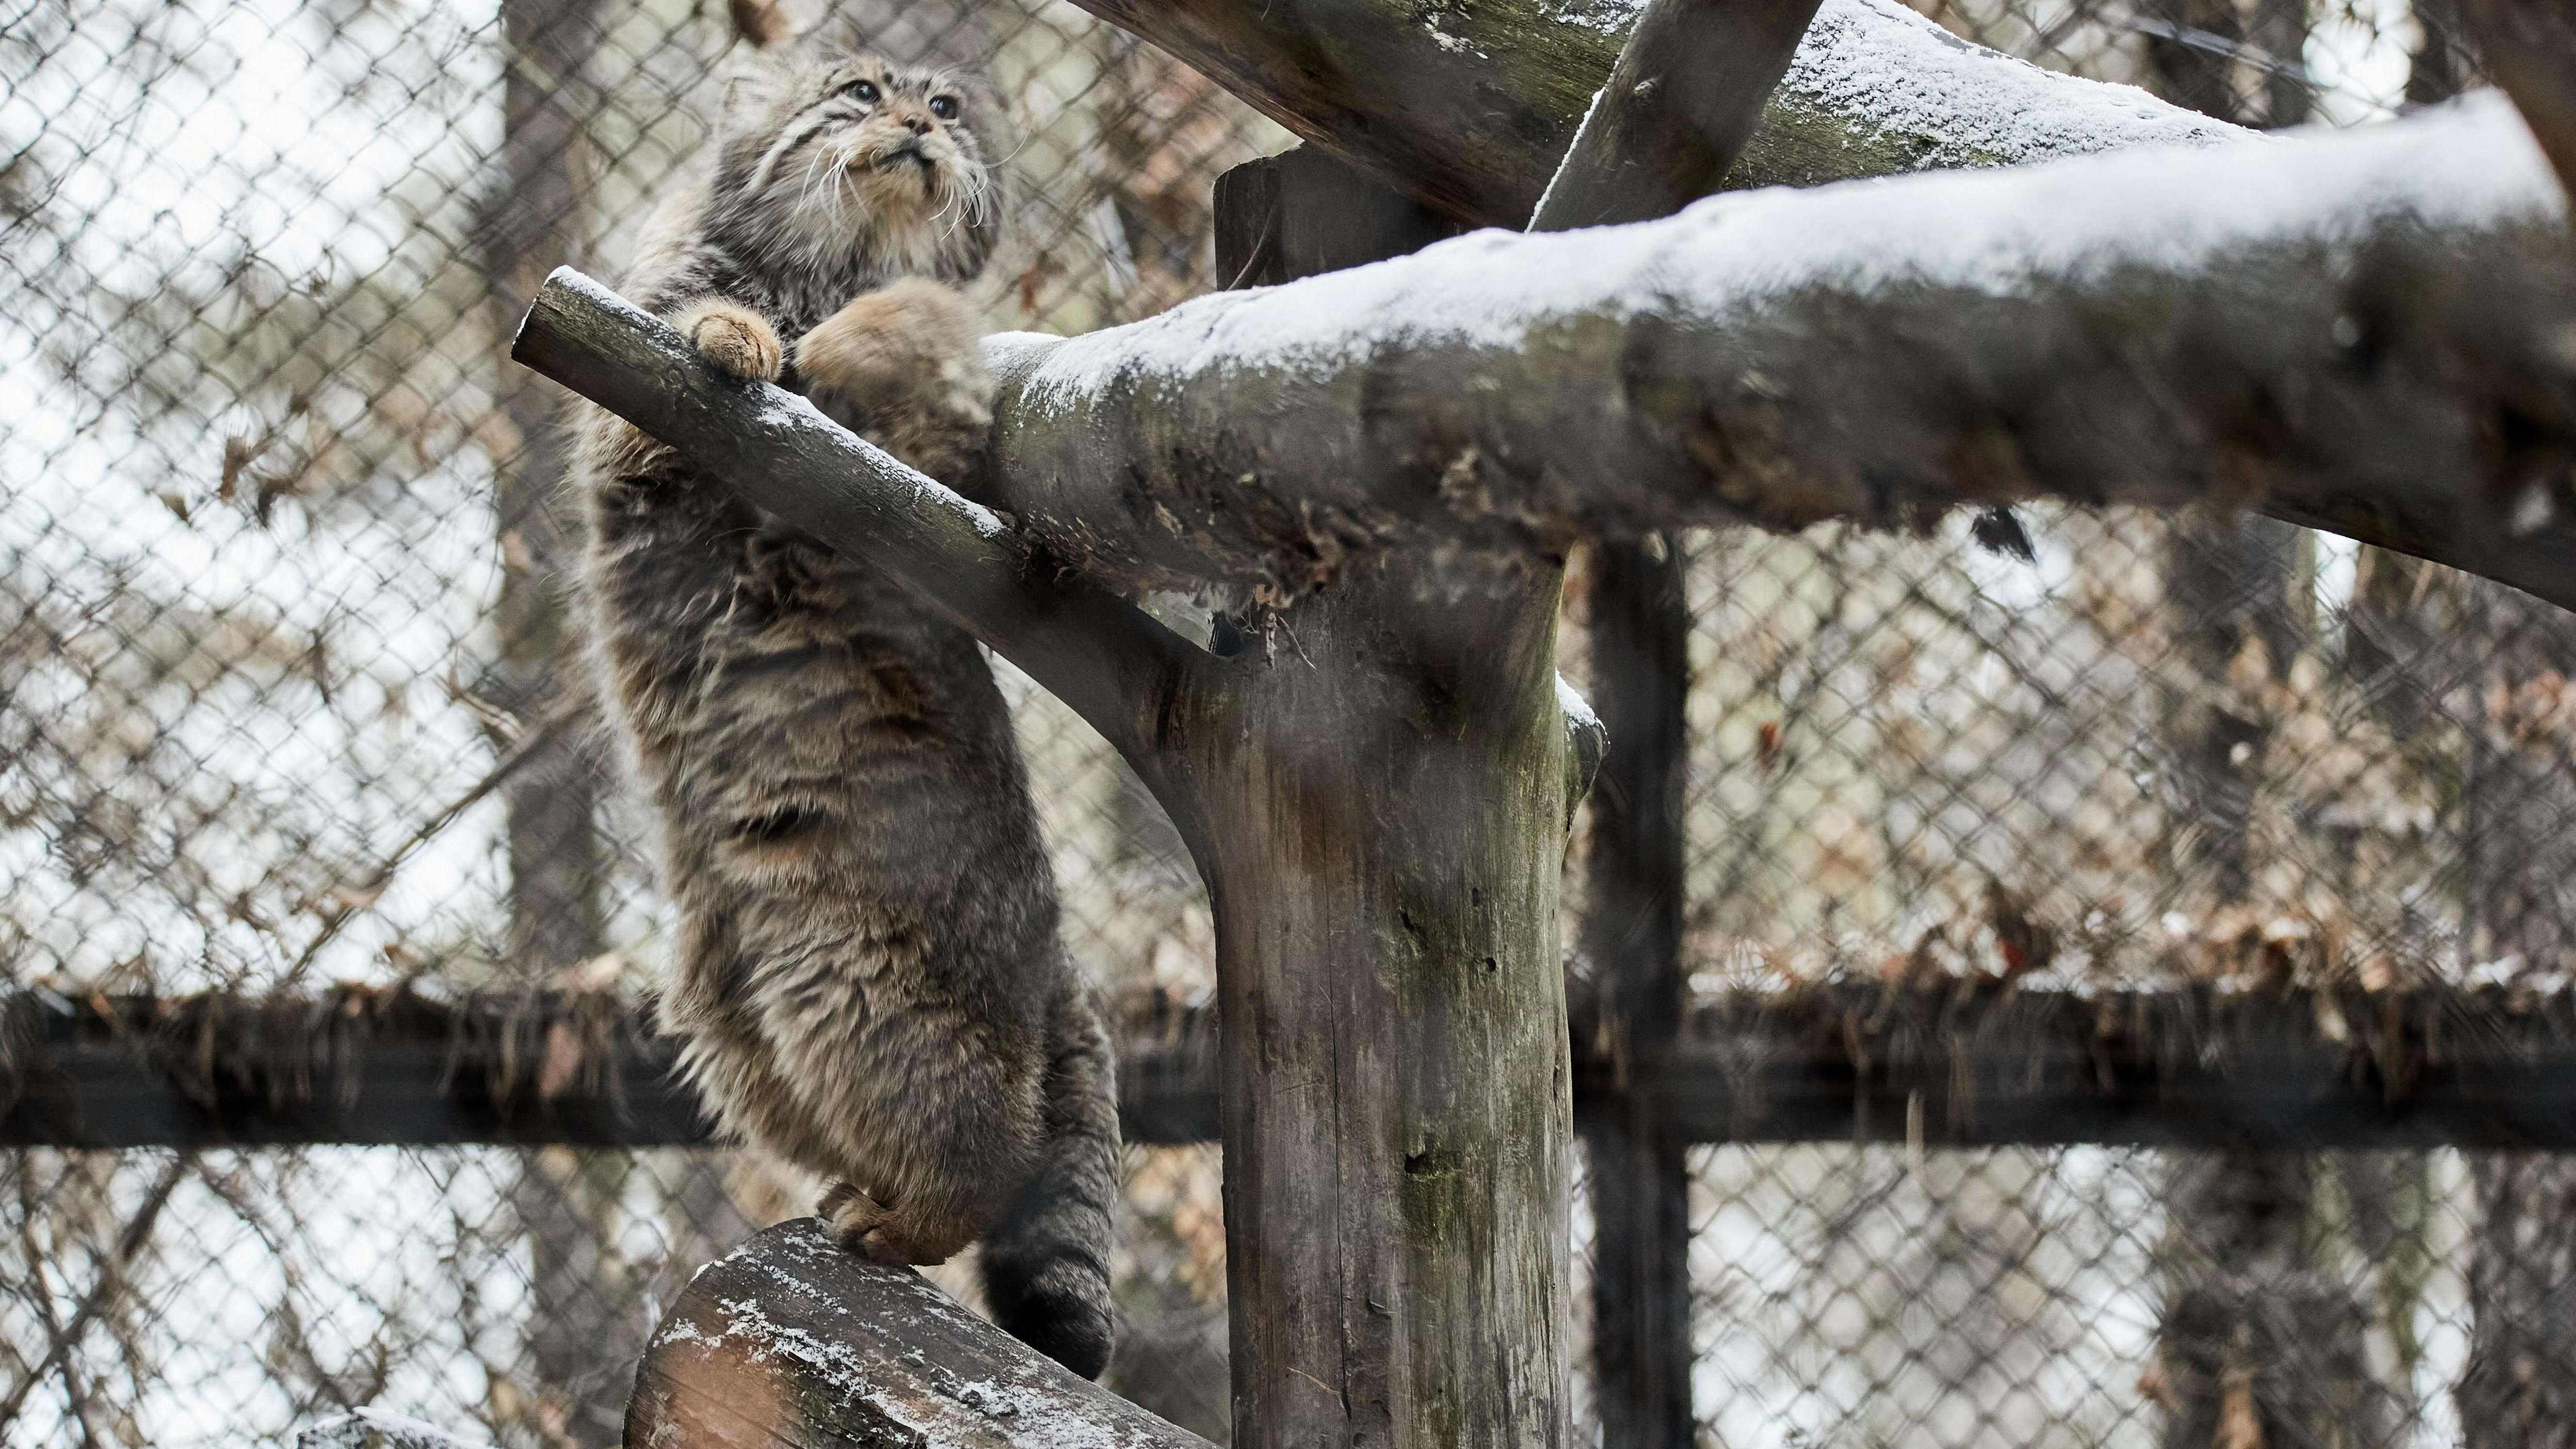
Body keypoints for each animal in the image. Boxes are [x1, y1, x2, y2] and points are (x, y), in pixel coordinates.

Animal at [574, 14, 1118, 1372]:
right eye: (861, 92)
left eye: (949, 108)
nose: (916, 127)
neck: (836, 262)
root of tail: (1059, 962)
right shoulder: (626, 411)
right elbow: (702, 322)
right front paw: (742, 334)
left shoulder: (930, 488)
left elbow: (918, 325)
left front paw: (844, 339)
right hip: (742, 1023)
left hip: (851, 983)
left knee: (984, 1158)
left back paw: (899, 1219)